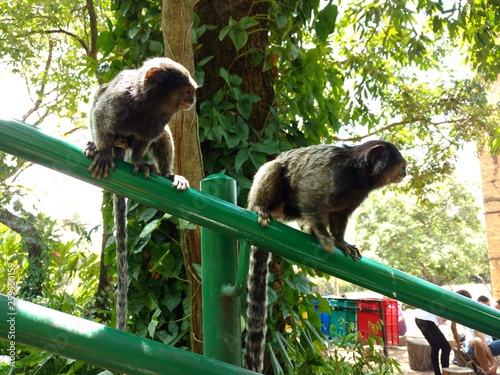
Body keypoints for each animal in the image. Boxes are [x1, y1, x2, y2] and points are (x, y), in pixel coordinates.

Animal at [85, 55, 196, 332]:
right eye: (186, 91)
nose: (193, 99)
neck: (148, 106)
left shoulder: (157, 122)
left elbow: (146, 141)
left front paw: (139, 161)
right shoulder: (117, 100)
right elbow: (100, 115)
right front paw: (103, 153)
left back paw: (169, 174)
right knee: (97, 100)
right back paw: (98, 147)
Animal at [244, 141, 408, 374]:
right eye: (401, 166)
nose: (405, 172)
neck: (359, 176)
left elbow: (339, 216)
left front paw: (340, 241)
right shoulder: (332, 175)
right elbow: (308, 191)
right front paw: (323, 235)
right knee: (274, 169)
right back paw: (261, 207)